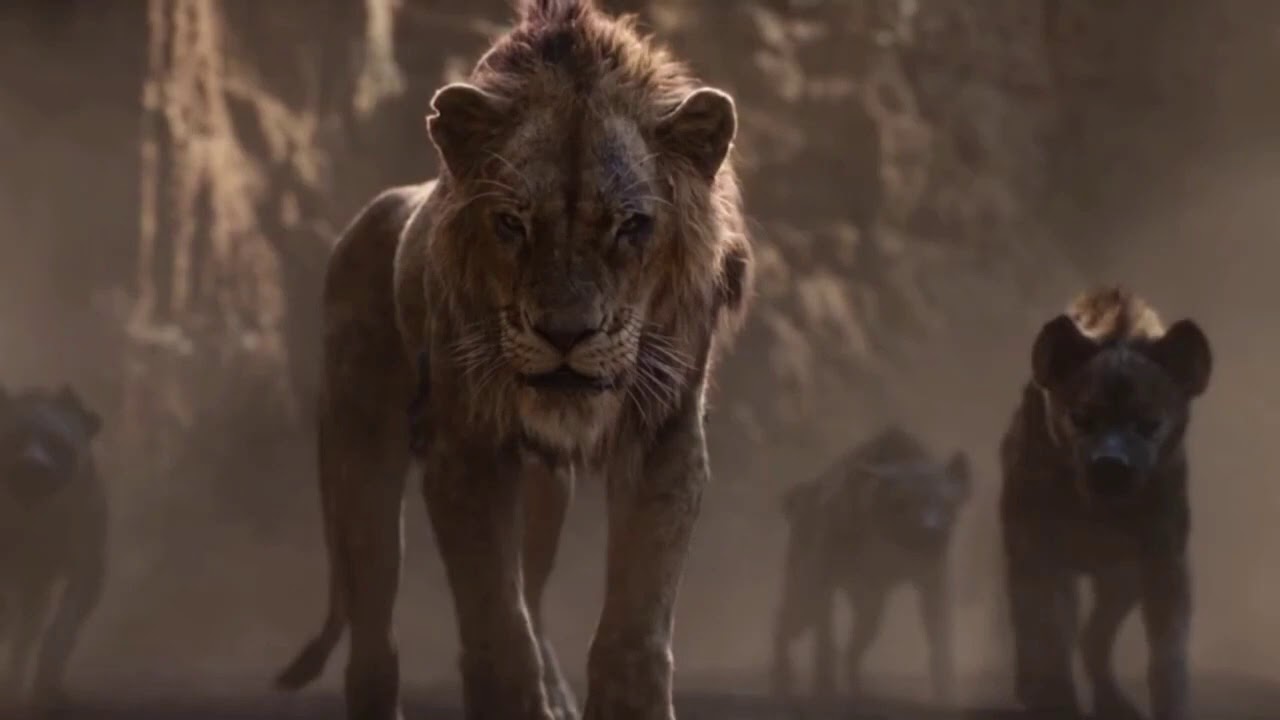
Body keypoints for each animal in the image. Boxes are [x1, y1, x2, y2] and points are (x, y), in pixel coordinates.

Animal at [0, 383, 107, 716]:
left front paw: (45, 683)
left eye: (57, 443)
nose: (34, 468)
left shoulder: (86, 565)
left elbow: (61, 627)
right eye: (14, 438)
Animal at [272, 1, 753, 718]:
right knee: (374, 640)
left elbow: (632, 628)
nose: (566, 334)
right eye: (512, 224)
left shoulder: (665, 437)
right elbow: (497, 627)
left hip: (544, 490)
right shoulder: (465, 450)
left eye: (630, 226)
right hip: (362, 459)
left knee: (533, 593)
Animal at [770, 426, 971, 707]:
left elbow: (940, 635)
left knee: (853, 647)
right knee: (787, 620)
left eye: (947, 503)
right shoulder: (823, 574)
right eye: (900, 503)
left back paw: (858, 690)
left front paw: (946, 693)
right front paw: (824, 690)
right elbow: (825, 638)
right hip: (803, 583)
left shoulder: (932, 579)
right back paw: (782, 680)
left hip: (871, 605)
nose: (932, 531)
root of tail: (801, 494)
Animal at [999, 286, 1211, 720]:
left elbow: (1167, 657)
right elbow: (1046, 637)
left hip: (1121, 581)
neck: (1097, 512)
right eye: (1081, 417)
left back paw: (1112, 701)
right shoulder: (1037, 552)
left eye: (1149, 423)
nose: (1111, 465)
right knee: (1048, 632)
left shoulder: (1161, 561)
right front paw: (1053, 702)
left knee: (1092, 636)